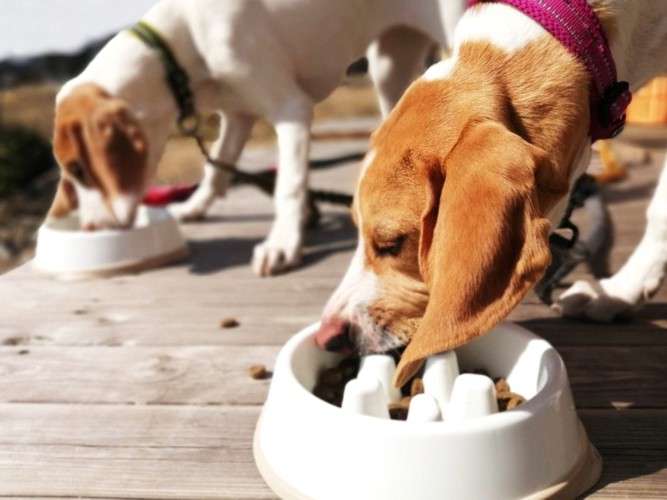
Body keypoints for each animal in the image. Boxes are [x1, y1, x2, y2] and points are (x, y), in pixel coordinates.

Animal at [49, 0, 468, 276]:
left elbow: (287, 186)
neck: (182, 45)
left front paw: (282, 243)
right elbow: (216, 169)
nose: (90, 230)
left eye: (78, 170)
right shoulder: (238, 116)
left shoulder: (292, 111)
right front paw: (195, 207)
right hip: (387, 66)